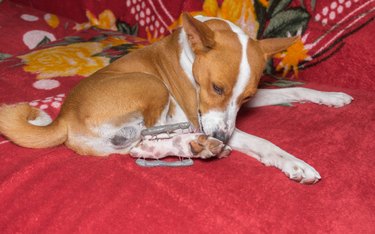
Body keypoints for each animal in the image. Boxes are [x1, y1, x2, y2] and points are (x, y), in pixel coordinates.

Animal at [0, 13, 352, 185]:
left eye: (245, 97)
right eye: (216, 88)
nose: (219, 135)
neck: (188, 56)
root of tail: (63, 118)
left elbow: (292, 90)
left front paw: (330, 96)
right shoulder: (202, 116)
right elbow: (265, 143)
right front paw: (295, 163)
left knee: (137, 147)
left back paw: (193, 147)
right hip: (153, 85)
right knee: (147, 139)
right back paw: (194, 145)